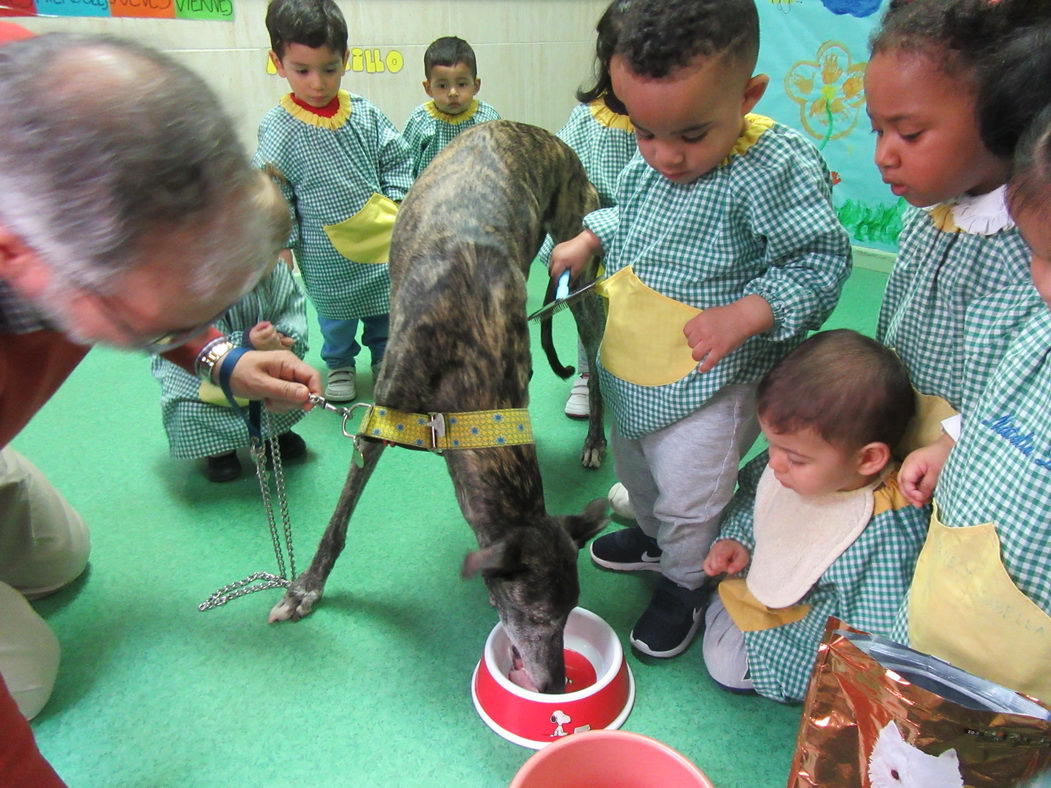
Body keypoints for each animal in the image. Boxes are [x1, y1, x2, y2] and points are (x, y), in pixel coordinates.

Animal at [271, 120, 613, 693]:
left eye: (572, 613)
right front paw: (306, 588)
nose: (554, 687)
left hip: (581, 275)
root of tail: (539, 134)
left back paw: (595, 440)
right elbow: (338, 523)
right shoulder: (379, 420)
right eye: (539, 617)